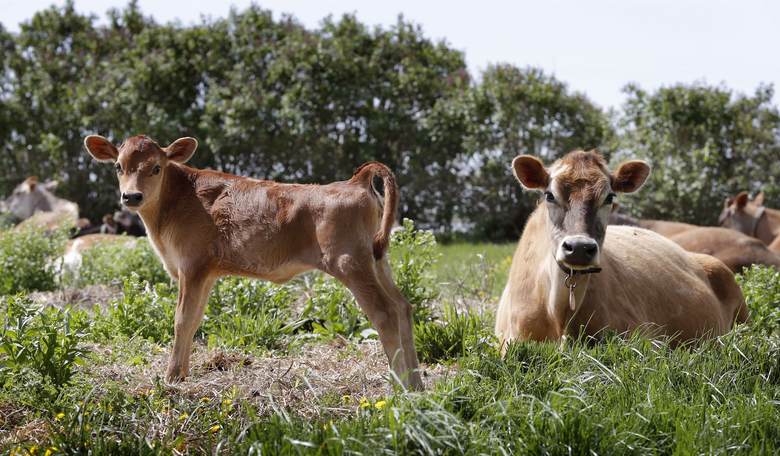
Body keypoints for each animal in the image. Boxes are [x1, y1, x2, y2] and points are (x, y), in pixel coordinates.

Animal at [83, 134, 422, 390]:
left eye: (156, 167)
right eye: (118, 166)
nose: (132, 197)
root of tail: (355, 181)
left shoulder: (191, 266)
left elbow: (181, 320)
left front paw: (170, 378)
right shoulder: (206, 272)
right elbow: (194, 320)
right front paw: (182, 375)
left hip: (350, 262)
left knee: (384, 313)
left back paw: (399, 386)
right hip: (377, 260)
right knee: (403, 307)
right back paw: (417, 385)